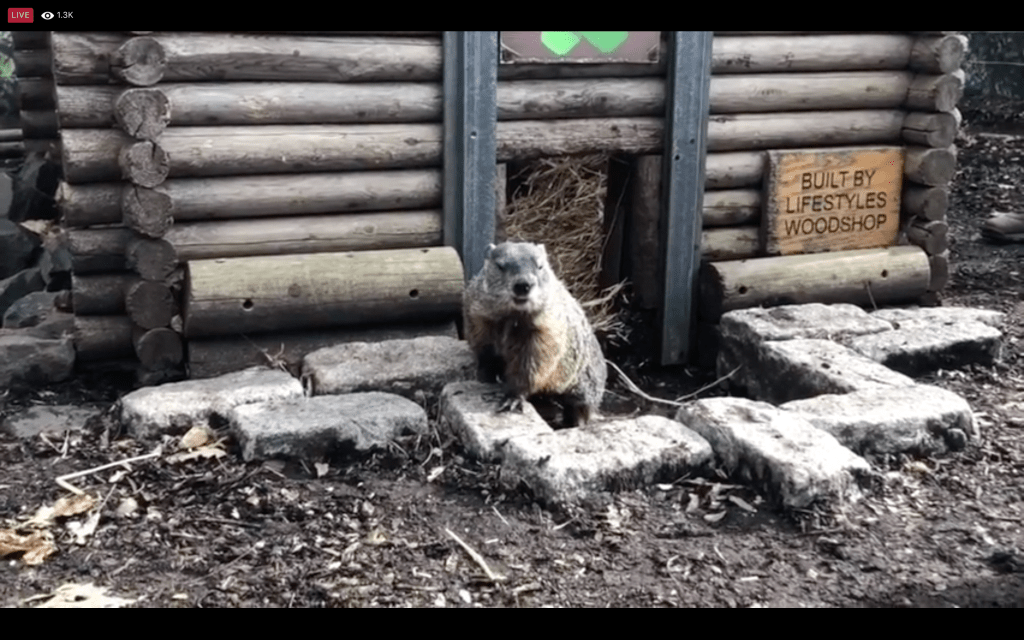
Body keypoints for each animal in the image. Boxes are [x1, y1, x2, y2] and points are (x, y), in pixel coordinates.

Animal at [463, 242, 607, 427]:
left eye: (540, 266)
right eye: (500, 266)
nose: (523, 285)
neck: (513, 316)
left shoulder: (546, 330)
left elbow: (533, 361)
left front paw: (512, 397)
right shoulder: (479, 315)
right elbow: (482, 345)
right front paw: (484, 374)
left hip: (587, 386)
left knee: (579, 409)